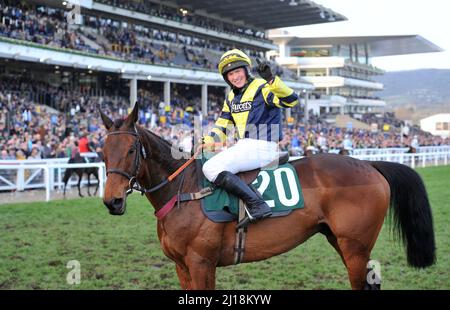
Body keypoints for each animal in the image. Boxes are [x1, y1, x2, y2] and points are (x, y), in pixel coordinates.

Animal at [99, 103, 436, 290]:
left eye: (131, 150)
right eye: (103, 151)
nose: (112, 202)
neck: (184, 190)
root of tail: (369, 164)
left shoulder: (201, 263)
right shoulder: (182, 266)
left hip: (355, 245)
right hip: (341, 241)